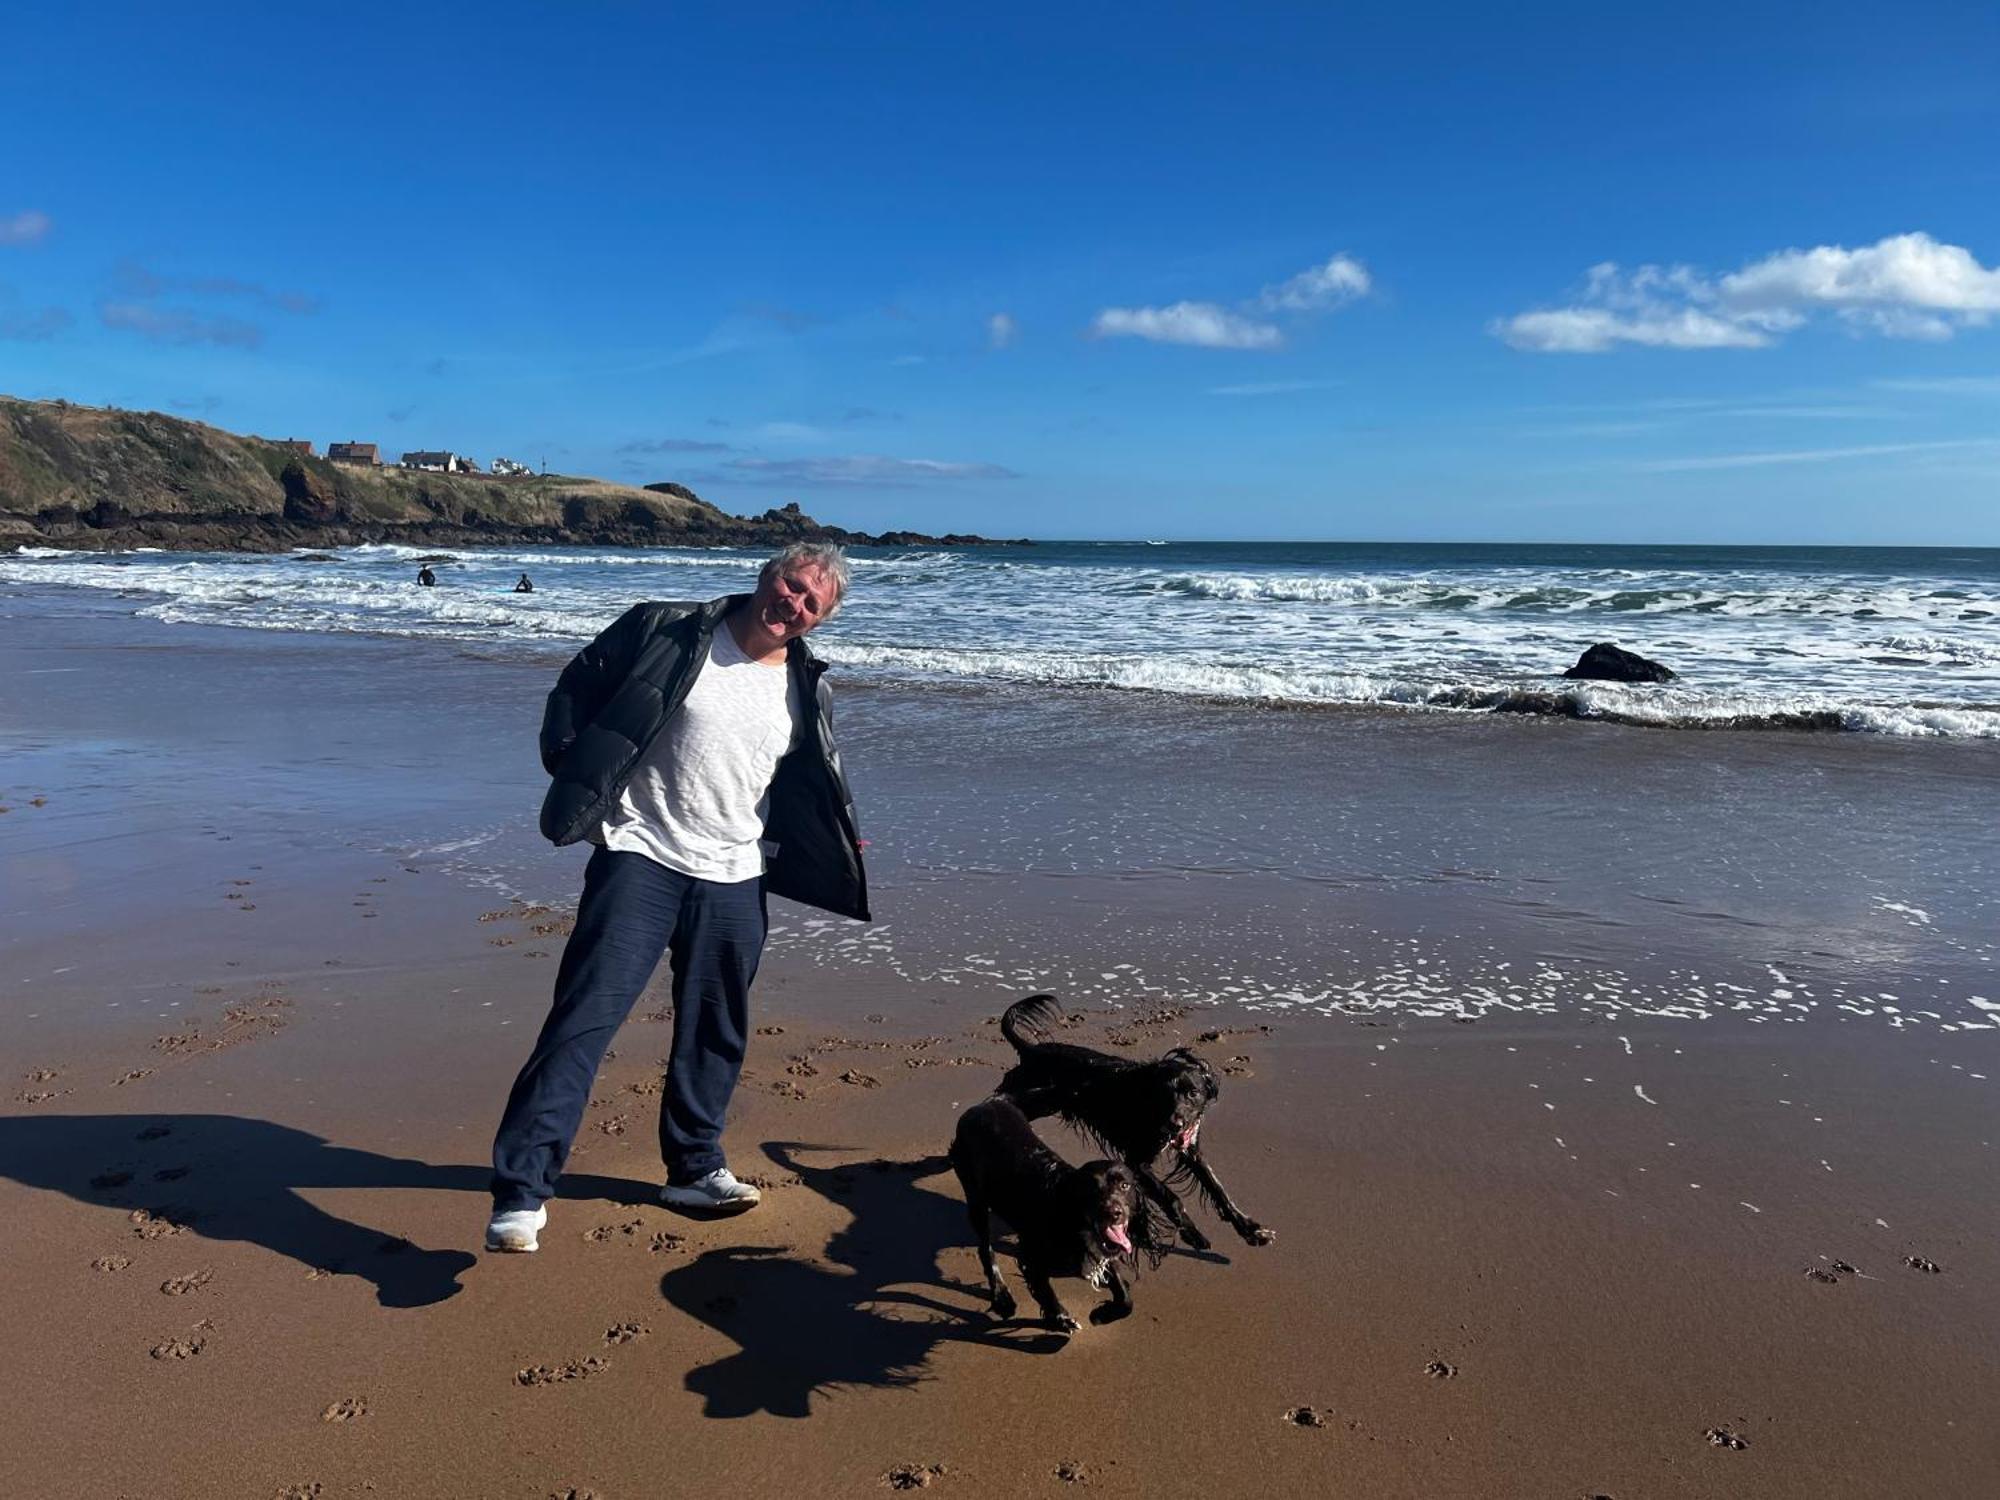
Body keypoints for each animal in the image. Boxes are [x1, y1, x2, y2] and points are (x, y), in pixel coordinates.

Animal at [952, 1096, 1144, 1336]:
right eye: (1091, 1190)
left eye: (1124, 1185)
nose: (1114, 1213)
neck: (1071, 1220)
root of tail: (982, 1105)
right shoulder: (1029, 1255)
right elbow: (1044, 1289)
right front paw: (1061, 1319)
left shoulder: (1102, 1251)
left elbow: (1125, 1298)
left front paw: (1101, 1315)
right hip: (975, 1196)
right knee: (985, 1248)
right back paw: (1002, 1298)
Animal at [996, 1000, 1272, 1256]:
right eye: (1165, 1094)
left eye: (1193, 1093)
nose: (1175, 1124)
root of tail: (1031, 1049)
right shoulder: (1137, 1162)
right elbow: (1171, 1198)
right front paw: (1193, 1234)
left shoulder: (1190, 1148)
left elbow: (1218, 1189)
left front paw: (1251, 1230)